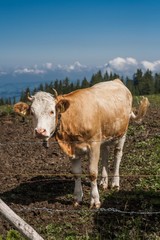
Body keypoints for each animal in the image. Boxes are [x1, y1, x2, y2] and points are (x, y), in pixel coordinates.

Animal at [13, 79, 149, 208]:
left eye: (52, 111)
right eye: (32, 113)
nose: (40, 131)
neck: (74, 118)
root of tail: (117, 81)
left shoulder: (93, 145)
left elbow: (92, 173)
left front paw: (95, 200)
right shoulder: (72, 149)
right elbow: (76, 173)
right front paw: (77, 197)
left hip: (122, 133)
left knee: (117, 155)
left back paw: (115, 183)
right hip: (104, 137)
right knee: (105, 155)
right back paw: (103, 182)